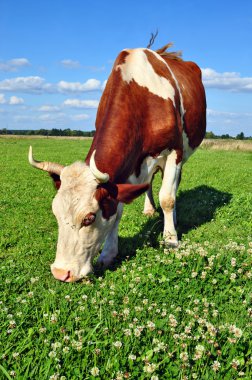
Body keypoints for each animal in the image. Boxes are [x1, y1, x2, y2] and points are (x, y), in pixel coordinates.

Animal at [29, 43, 207, 282]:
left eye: (89, 218)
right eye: (55, 213)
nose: (61, 272)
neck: (142, 98)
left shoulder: (174, 152)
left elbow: (167, 198)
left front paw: (171, 239)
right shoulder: (124, 171)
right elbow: (118, 209)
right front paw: (108, 253)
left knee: (172, 187)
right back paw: (149, 209)